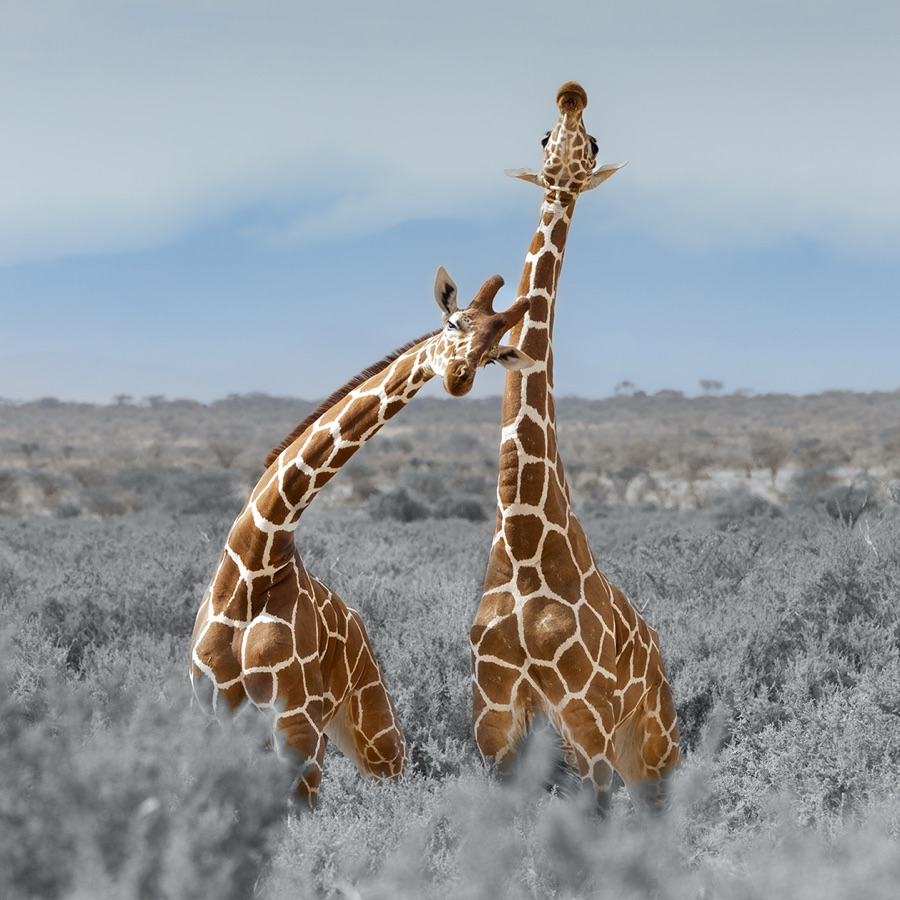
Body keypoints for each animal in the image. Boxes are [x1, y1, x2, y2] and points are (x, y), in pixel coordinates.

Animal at [191, 268, 532, 810]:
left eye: (494, 355)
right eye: (454, 322)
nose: (460, 376)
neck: (257, 561)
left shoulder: (296, 722)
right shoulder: (209, 708)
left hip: (370, 729)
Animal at [471, 82, 680, 813]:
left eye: (593, 143)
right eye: (544, 136)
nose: (572, 95)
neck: (524, 542)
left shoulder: (585, 726)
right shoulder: (495, 732)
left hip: (651, 745)